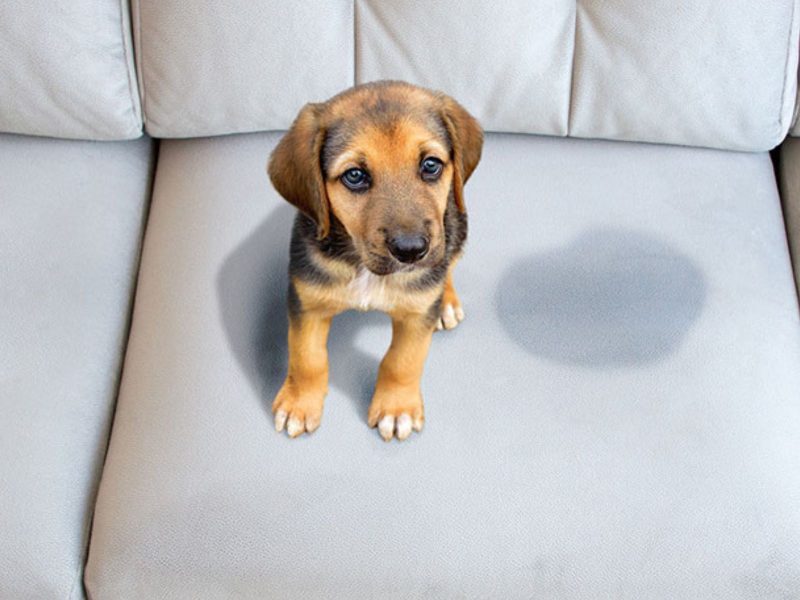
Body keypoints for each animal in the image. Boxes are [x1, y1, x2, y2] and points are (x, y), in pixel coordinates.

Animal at [268, 81, 482, 440]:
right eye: (355, 175)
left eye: (431, 165)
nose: (411, 250)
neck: (365, 268)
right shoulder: (306, 301)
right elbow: (306, 358)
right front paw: (300, 403)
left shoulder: (417, 314)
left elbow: (402, 361)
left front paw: (396, 409)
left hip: (457, 225)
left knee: (449, 261)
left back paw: (447, 302)